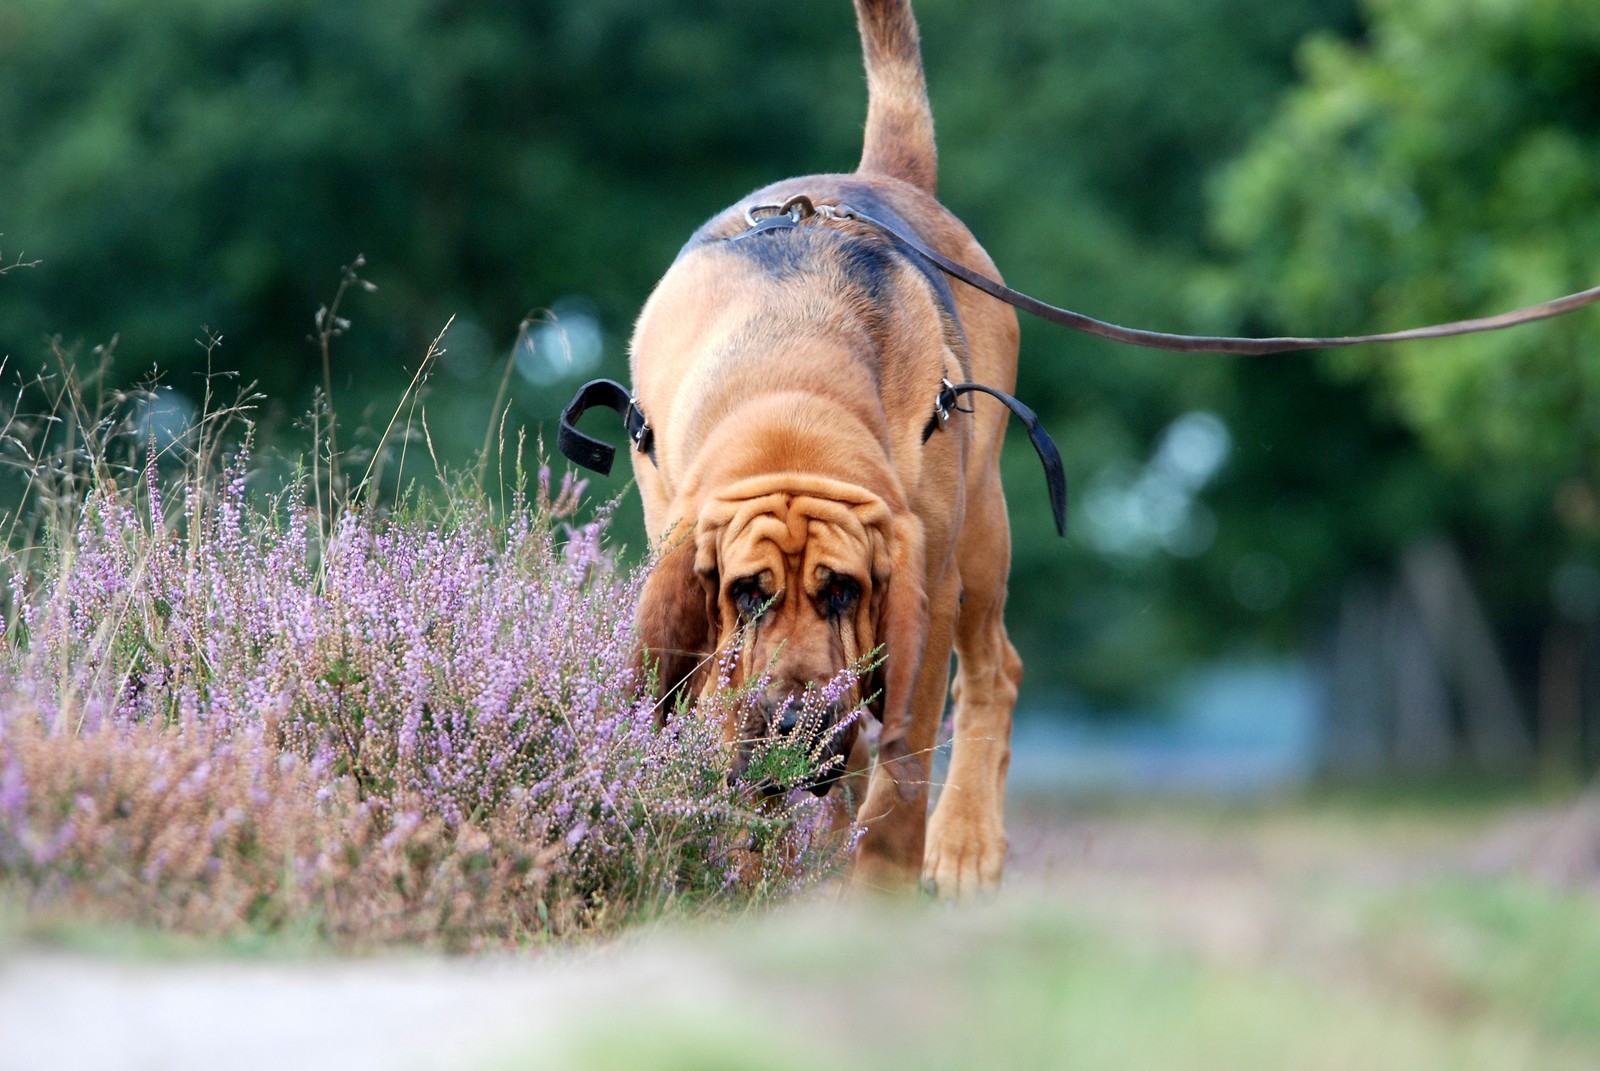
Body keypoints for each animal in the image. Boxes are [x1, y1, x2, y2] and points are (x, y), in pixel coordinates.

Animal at [620, 0, 1011, 902]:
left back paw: (965, 840)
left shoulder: (924, 594)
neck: (791, 405)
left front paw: (880, 891)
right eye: (746, 593)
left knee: (993, 670)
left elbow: (902, 769)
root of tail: (878, 178)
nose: (794, 720)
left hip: (981, 538)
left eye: (842, 590)